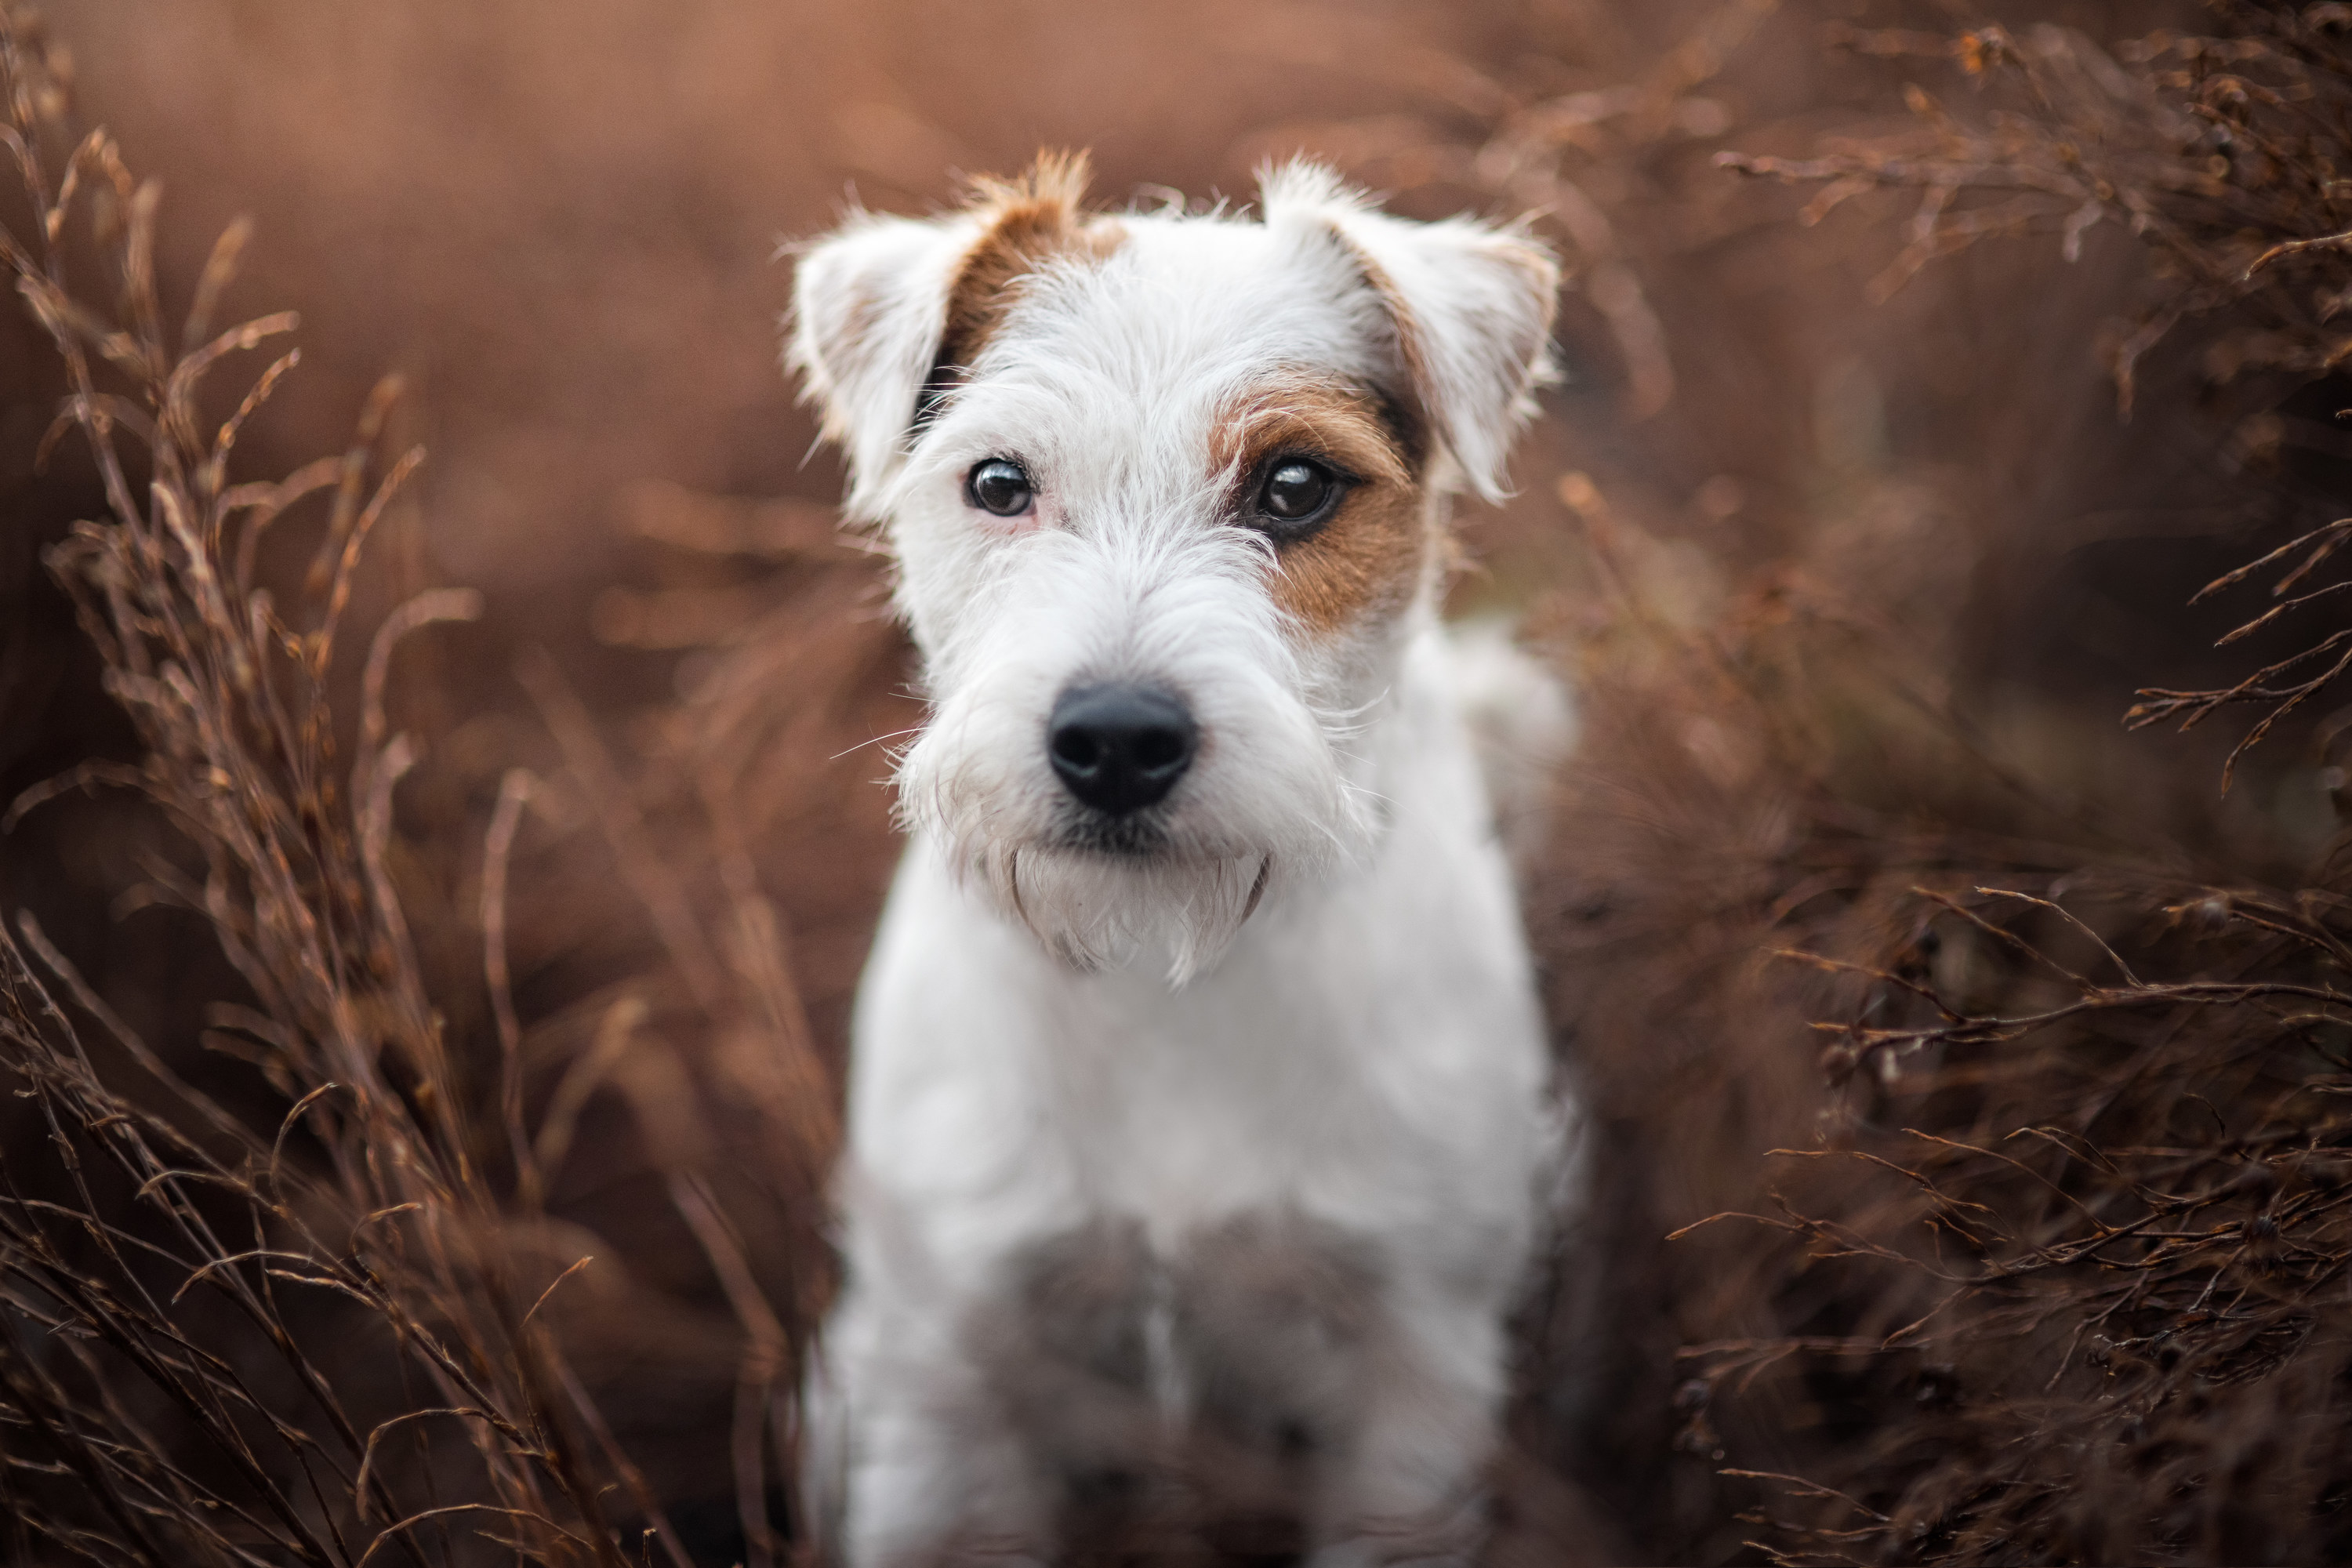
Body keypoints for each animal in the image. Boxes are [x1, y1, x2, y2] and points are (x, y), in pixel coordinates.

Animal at [790, 152, 1581, 1561]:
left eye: (1296, 486)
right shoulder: (947, 1370)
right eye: (999, 483)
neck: (1167, 971)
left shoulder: (1411, 1369)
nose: (1114, 741)